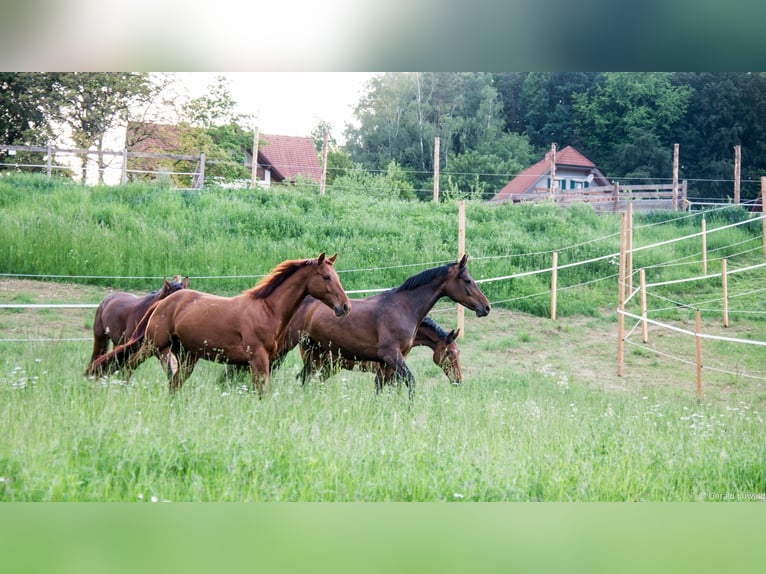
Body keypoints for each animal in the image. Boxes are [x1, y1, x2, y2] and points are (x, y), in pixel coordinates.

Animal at [86, 254, 354, 398]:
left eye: (337, 277)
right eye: (326, 277)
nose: (345, 307)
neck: (267, 310)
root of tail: (165, 302)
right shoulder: (258, 359)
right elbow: (262, 391)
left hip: (186, 356)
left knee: (174, 383)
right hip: (153, 344)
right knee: (129, 365)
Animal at [294, 256, 492, 396]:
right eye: (467, 280)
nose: (486, 307)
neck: (403, 307)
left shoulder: (387, 366)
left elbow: (383, 389)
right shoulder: (390, 357)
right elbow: (408, 384)